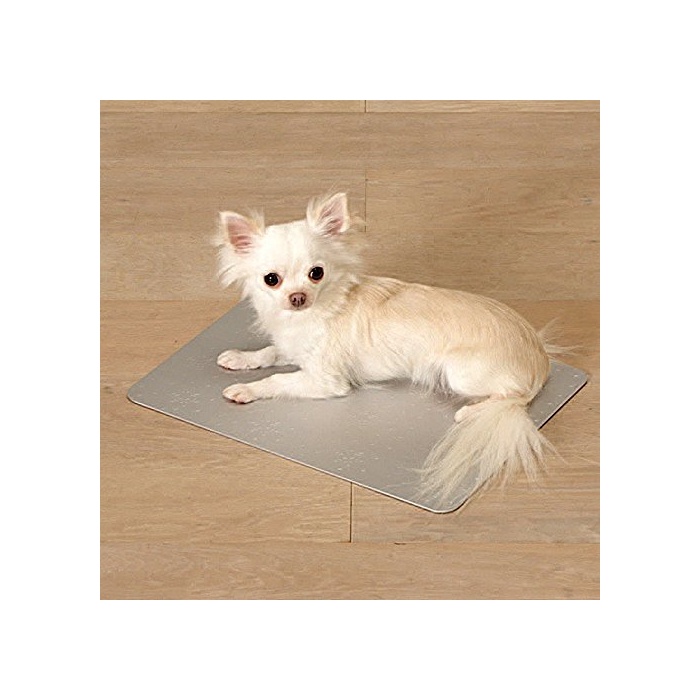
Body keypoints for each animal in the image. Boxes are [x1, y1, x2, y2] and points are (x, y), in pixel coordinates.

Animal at [213, 192, 555, 503]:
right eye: (271, 279)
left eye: (316, 273)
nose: (298, 297)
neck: (311, 314)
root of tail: (540, 359)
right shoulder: (294, 347)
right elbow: (271, 351)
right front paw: (241, 358)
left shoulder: (326, 380)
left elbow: (278, 379)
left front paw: (246, 389)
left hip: (461, 374)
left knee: (513, 397)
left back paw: (470, 412)